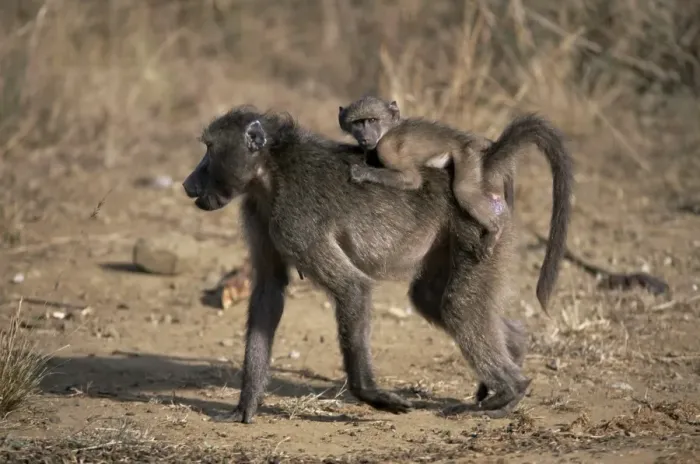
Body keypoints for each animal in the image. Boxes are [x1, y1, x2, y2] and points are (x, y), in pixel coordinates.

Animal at [338, 98, 505, 255]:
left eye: (372, 120)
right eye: (358, 123)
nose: (365, 138)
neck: (388, 130)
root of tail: (465, 137)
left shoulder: (386, 148)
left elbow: (412, 179)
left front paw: (361, 173)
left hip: (466, 153)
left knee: (464, 191)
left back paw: (495, 230)